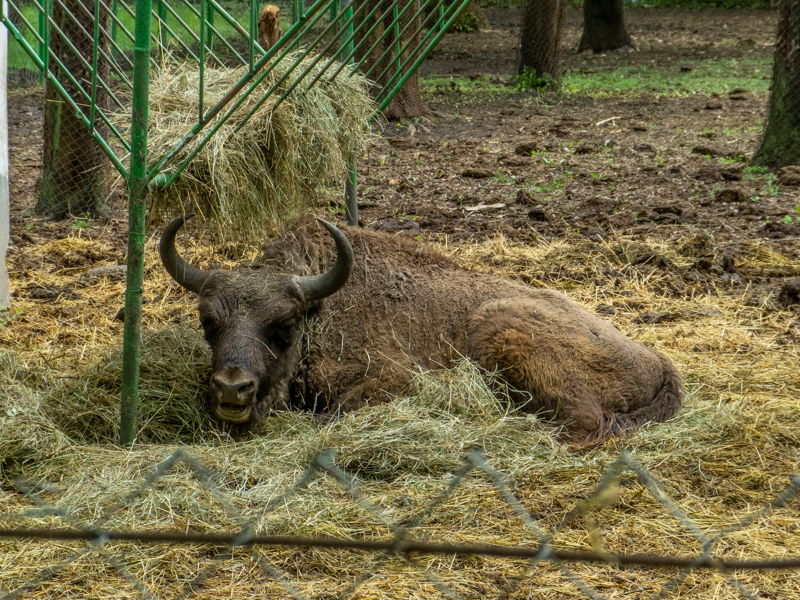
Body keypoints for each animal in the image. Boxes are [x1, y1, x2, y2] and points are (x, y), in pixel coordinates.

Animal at [159, 214, 683, 446]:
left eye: (283, 324)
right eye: (208, 320)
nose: (233, 388)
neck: (322, 309)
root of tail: (659, 363)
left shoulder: (396, 378)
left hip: (501, 331)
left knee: (582, 423)